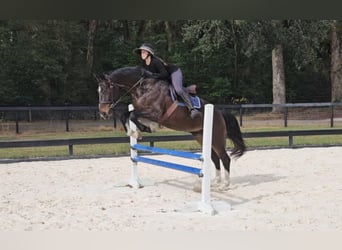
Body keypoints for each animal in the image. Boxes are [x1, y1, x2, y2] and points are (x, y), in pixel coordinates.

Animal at [96, 65, 246, 188]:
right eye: (99, 90)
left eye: (106, 89)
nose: (103, 113)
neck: (143, 88)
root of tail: (220, 112)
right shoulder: (142, 111)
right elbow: (125, 115)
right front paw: (134, 132)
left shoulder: (155, 113)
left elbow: (132, 115)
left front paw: (145, 130)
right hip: (201, 136)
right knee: (215, 158)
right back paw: (216, 182)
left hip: (216, 137)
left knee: (225, 158)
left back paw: (225, 185)